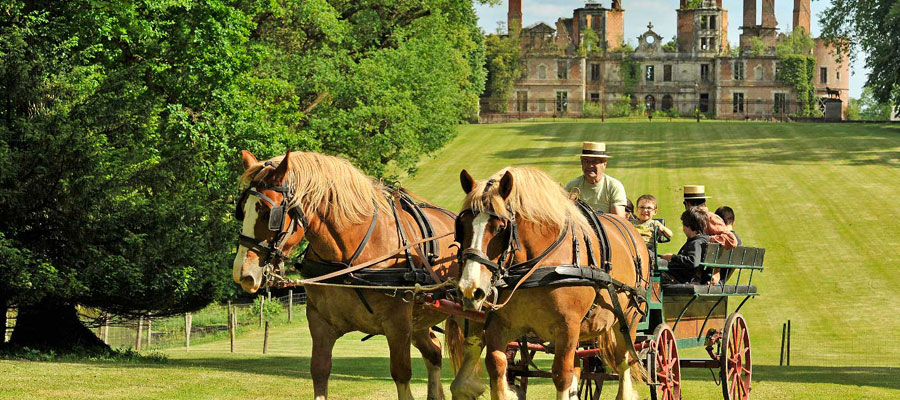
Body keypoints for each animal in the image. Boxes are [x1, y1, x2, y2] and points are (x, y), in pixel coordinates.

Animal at [236, 151, 482, 400]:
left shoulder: (398, 326)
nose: (243, 273)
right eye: (242, 211)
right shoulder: (319, 322)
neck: (349, 259)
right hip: (420, 319)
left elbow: (401, 374)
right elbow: (319, 371)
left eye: (267, 213)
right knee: (434, 351)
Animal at [458, 167, 648, 400]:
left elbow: (561, 375)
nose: (470, 288)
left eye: (500, 228)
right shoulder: (500, 324)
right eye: (462, 226)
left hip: (627, 321)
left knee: (623, 363)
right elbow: (496, 364)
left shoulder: (567, 327)